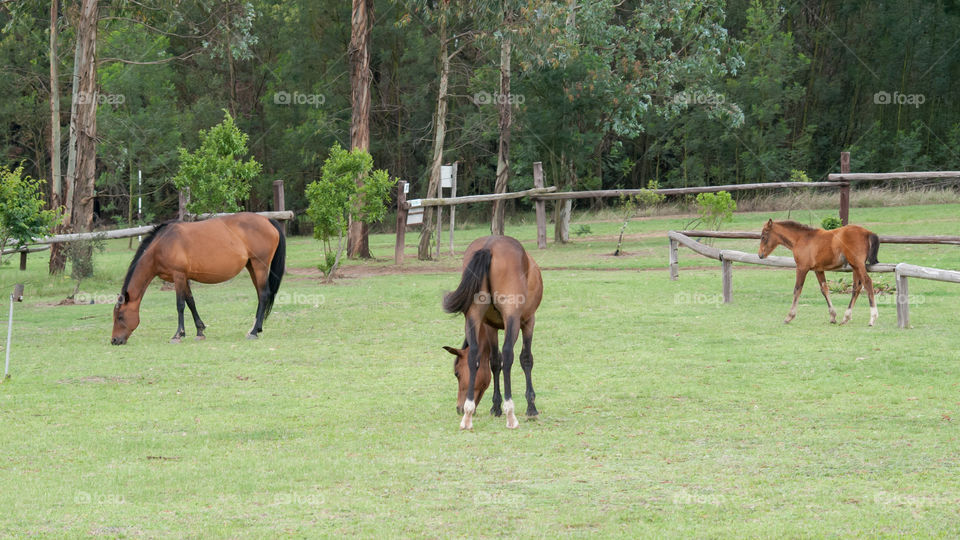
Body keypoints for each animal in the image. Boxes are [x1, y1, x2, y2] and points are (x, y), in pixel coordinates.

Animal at [111, 212, 286, 345]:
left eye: (120, 316)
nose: (114, 341)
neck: (162, 244)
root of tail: (267, 220)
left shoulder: (178, 276)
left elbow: (180, 305)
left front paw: (178, 335)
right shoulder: (184, 278)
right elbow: (191, 302)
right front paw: (200, 331)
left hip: (260, 266)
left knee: (263, 294)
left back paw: (254, 332)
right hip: (252, 267)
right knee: (261, 296)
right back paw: (255, 328)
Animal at [443, 235, 543, 430]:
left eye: (457, 373)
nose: (458, 408)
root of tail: (489, 246)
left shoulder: (490, 326)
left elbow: (495, 362)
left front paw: (495, 407)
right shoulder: (528, 321)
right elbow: (525, 359)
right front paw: (531, 408)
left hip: (473, 315)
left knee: (474, 354)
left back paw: (468, 415)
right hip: (512, 317)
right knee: (508, 354)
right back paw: (510, 413)